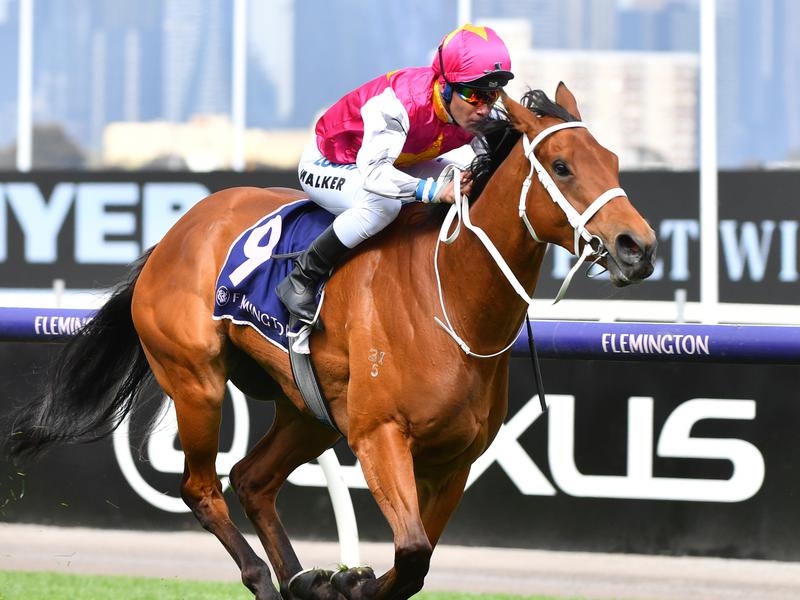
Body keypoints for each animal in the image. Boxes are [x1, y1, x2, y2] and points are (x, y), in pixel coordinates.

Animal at [7, 83, 656, 599]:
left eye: (613, 160)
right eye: (563, 166)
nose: (638, 246)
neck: (451, 299)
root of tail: (174, 234)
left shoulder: (455, 460)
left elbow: (416, 562)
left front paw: (339, 580)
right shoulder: (380, 436)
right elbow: (411, 552)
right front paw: (349, 582)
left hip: (309, 409)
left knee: (251, 478)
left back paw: (300, 578)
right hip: (196, 382)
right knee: (201, 487)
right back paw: (268, 579)